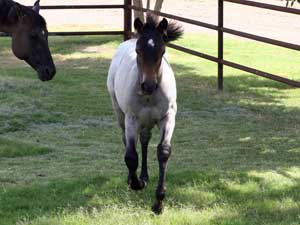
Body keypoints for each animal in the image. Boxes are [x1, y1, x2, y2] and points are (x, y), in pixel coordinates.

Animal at [108, 14, 183, 214]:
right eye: (138, 51)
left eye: (162, 51)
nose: (147, 86)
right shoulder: (131, 118)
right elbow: (130, 156)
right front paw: (136, 184)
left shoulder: (168, 118)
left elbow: (163, 151)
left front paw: (158, 203)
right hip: (121, 114)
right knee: (128, 141)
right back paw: (135, 178)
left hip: (147, 121)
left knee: (144, 140)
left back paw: (145, 175)